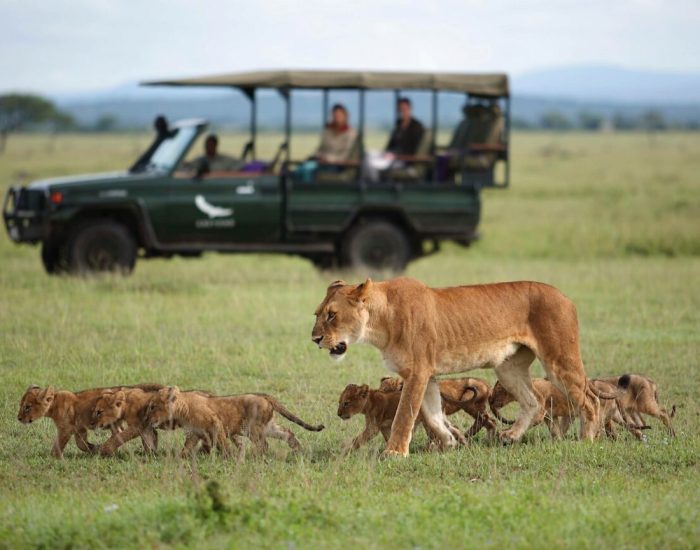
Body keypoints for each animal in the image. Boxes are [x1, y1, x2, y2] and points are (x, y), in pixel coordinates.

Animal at [145, 387, 325, 457]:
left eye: (153, 406)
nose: (146, 419)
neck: (182, 409)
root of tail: (265, 396)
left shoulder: (215, 423)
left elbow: (223, 443)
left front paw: (229, 457)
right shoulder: (195, 433)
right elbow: (186, 448)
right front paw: (181, 458)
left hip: (253, 429)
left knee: (263, 445)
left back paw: (255, 457)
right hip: (268, 427)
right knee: (288, 432)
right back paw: (298, 450)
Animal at [312, 277, 599, 457]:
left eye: (332, 315)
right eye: (317, 314)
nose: (314, 339)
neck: (380, 322)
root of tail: (564, 296)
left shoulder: (417, 372)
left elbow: (405, 415)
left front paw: (394, 452)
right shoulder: (427, 375)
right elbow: (433, 414)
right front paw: (449, 442)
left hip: (560, 360)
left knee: (590, 399)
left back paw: (587, 439)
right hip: (508, 368)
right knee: (534, 400)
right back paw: (511, 436)